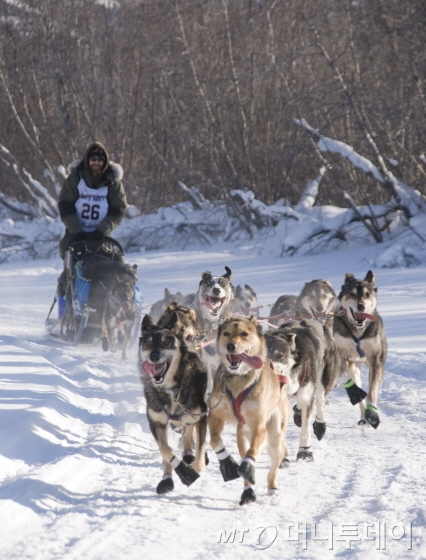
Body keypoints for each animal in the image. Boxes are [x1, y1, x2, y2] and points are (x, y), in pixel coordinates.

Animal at [139, 316, 207, 494]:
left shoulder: (202, 416)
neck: (171, 389)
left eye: (166, 343)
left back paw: (189, 453)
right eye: (147, 343)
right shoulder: (156, 422)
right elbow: (165, 449)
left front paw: (193, 469)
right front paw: (173, 475)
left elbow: (201, 449)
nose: (154, 357)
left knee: (189, 429)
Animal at [207, 318, 290, 506]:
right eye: (226, 333)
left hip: (276, 438)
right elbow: (215, 440)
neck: (239, 378)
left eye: (244, 334)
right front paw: (228, 464)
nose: (231, 345)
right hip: (242, 435)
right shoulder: (215, 415)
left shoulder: (259, 427)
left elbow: (252, 454)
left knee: (272, 470)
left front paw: (247, 467)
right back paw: (248, 492)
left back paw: (271, 489)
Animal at [266, 318, 340, 462]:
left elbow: (306, 430)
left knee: (320, 401)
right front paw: (282, 457)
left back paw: (320, 426)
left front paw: (305, 453)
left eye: (280, 355)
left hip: (322, 380)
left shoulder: (307, 396)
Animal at [334, 272, 388, 428]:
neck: (358, 331)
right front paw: (354, 393)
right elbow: (344, 375)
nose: (361, 306)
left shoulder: (376, 360)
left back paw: (367, 416)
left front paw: (372, 413)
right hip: (354, 367)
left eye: (367, 294)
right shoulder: (340, 356)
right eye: (352, 294)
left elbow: (372, 390)